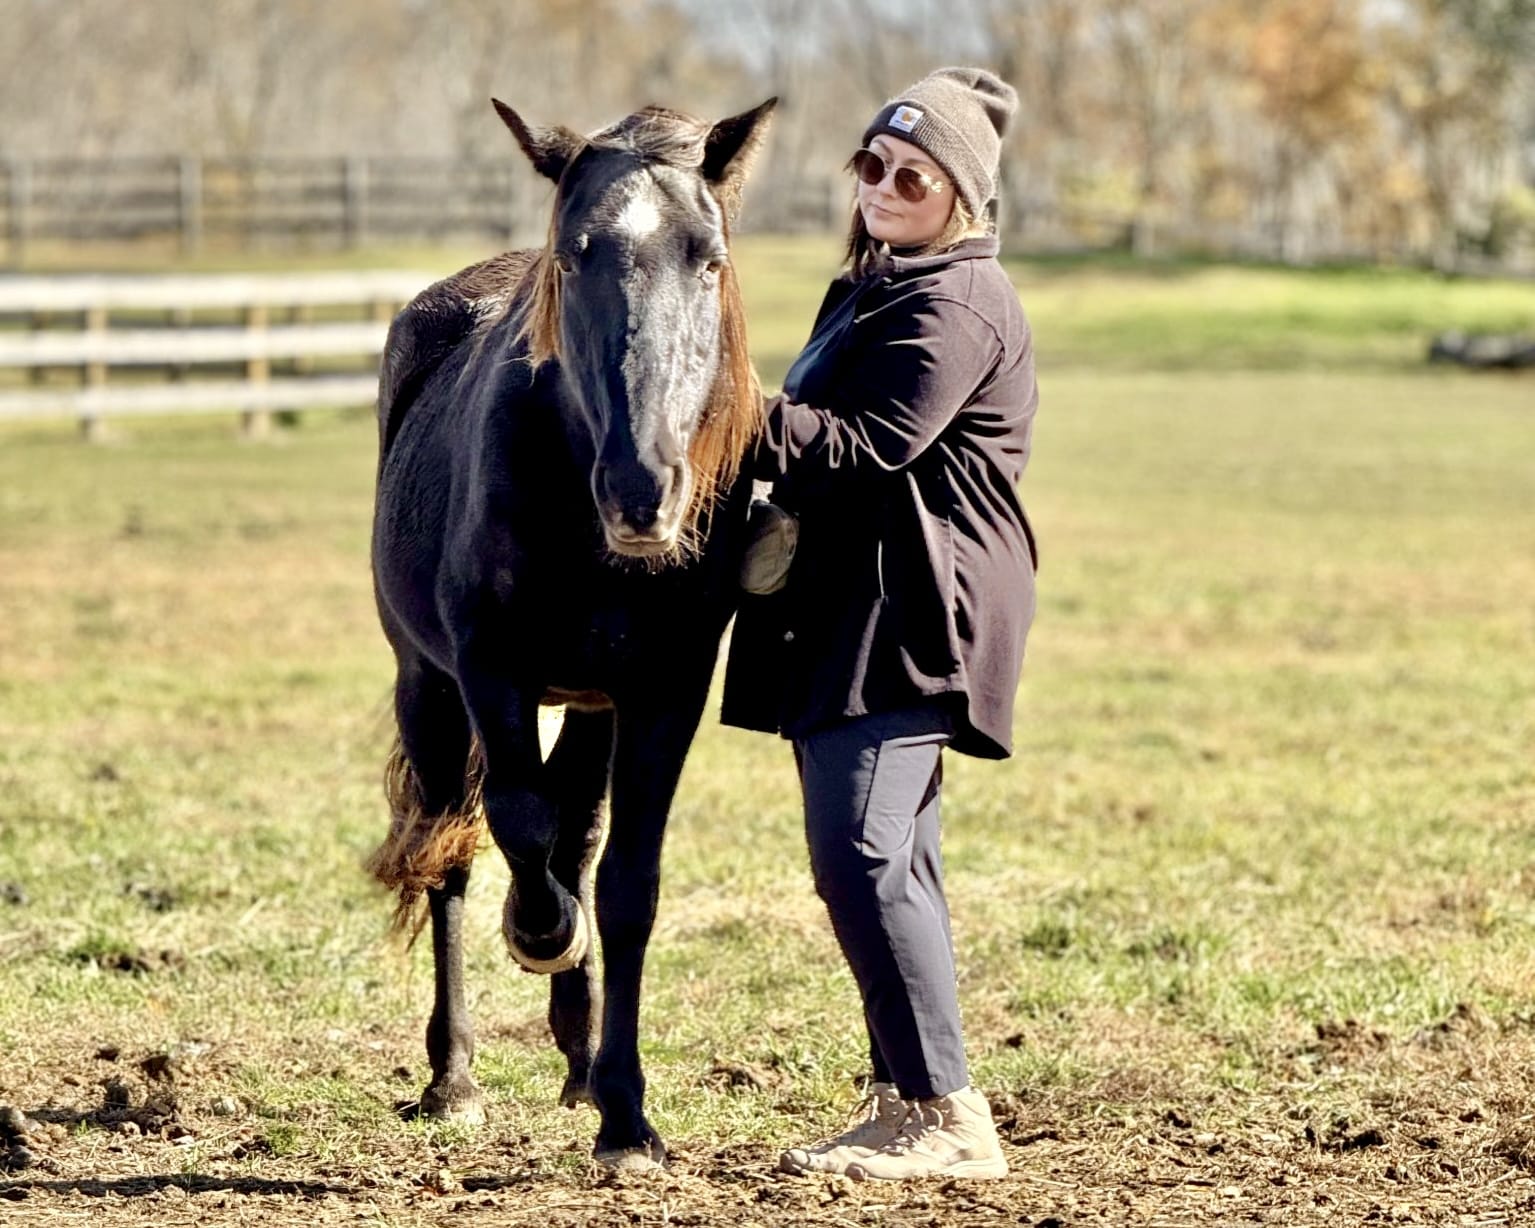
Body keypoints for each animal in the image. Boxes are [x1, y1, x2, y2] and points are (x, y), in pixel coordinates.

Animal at [366, 95, 775, 1169]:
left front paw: (626, 1115)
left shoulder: (662, 692)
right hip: (428, 690)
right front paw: (537, 931)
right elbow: (515, 824)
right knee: (452, 848)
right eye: (576, 252)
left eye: (708, 257)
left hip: (590, 706)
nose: (643, 488)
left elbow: (626, 881)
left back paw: (582, 1059)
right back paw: (454, 1075)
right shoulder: (488, 672)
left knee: (576, 838)